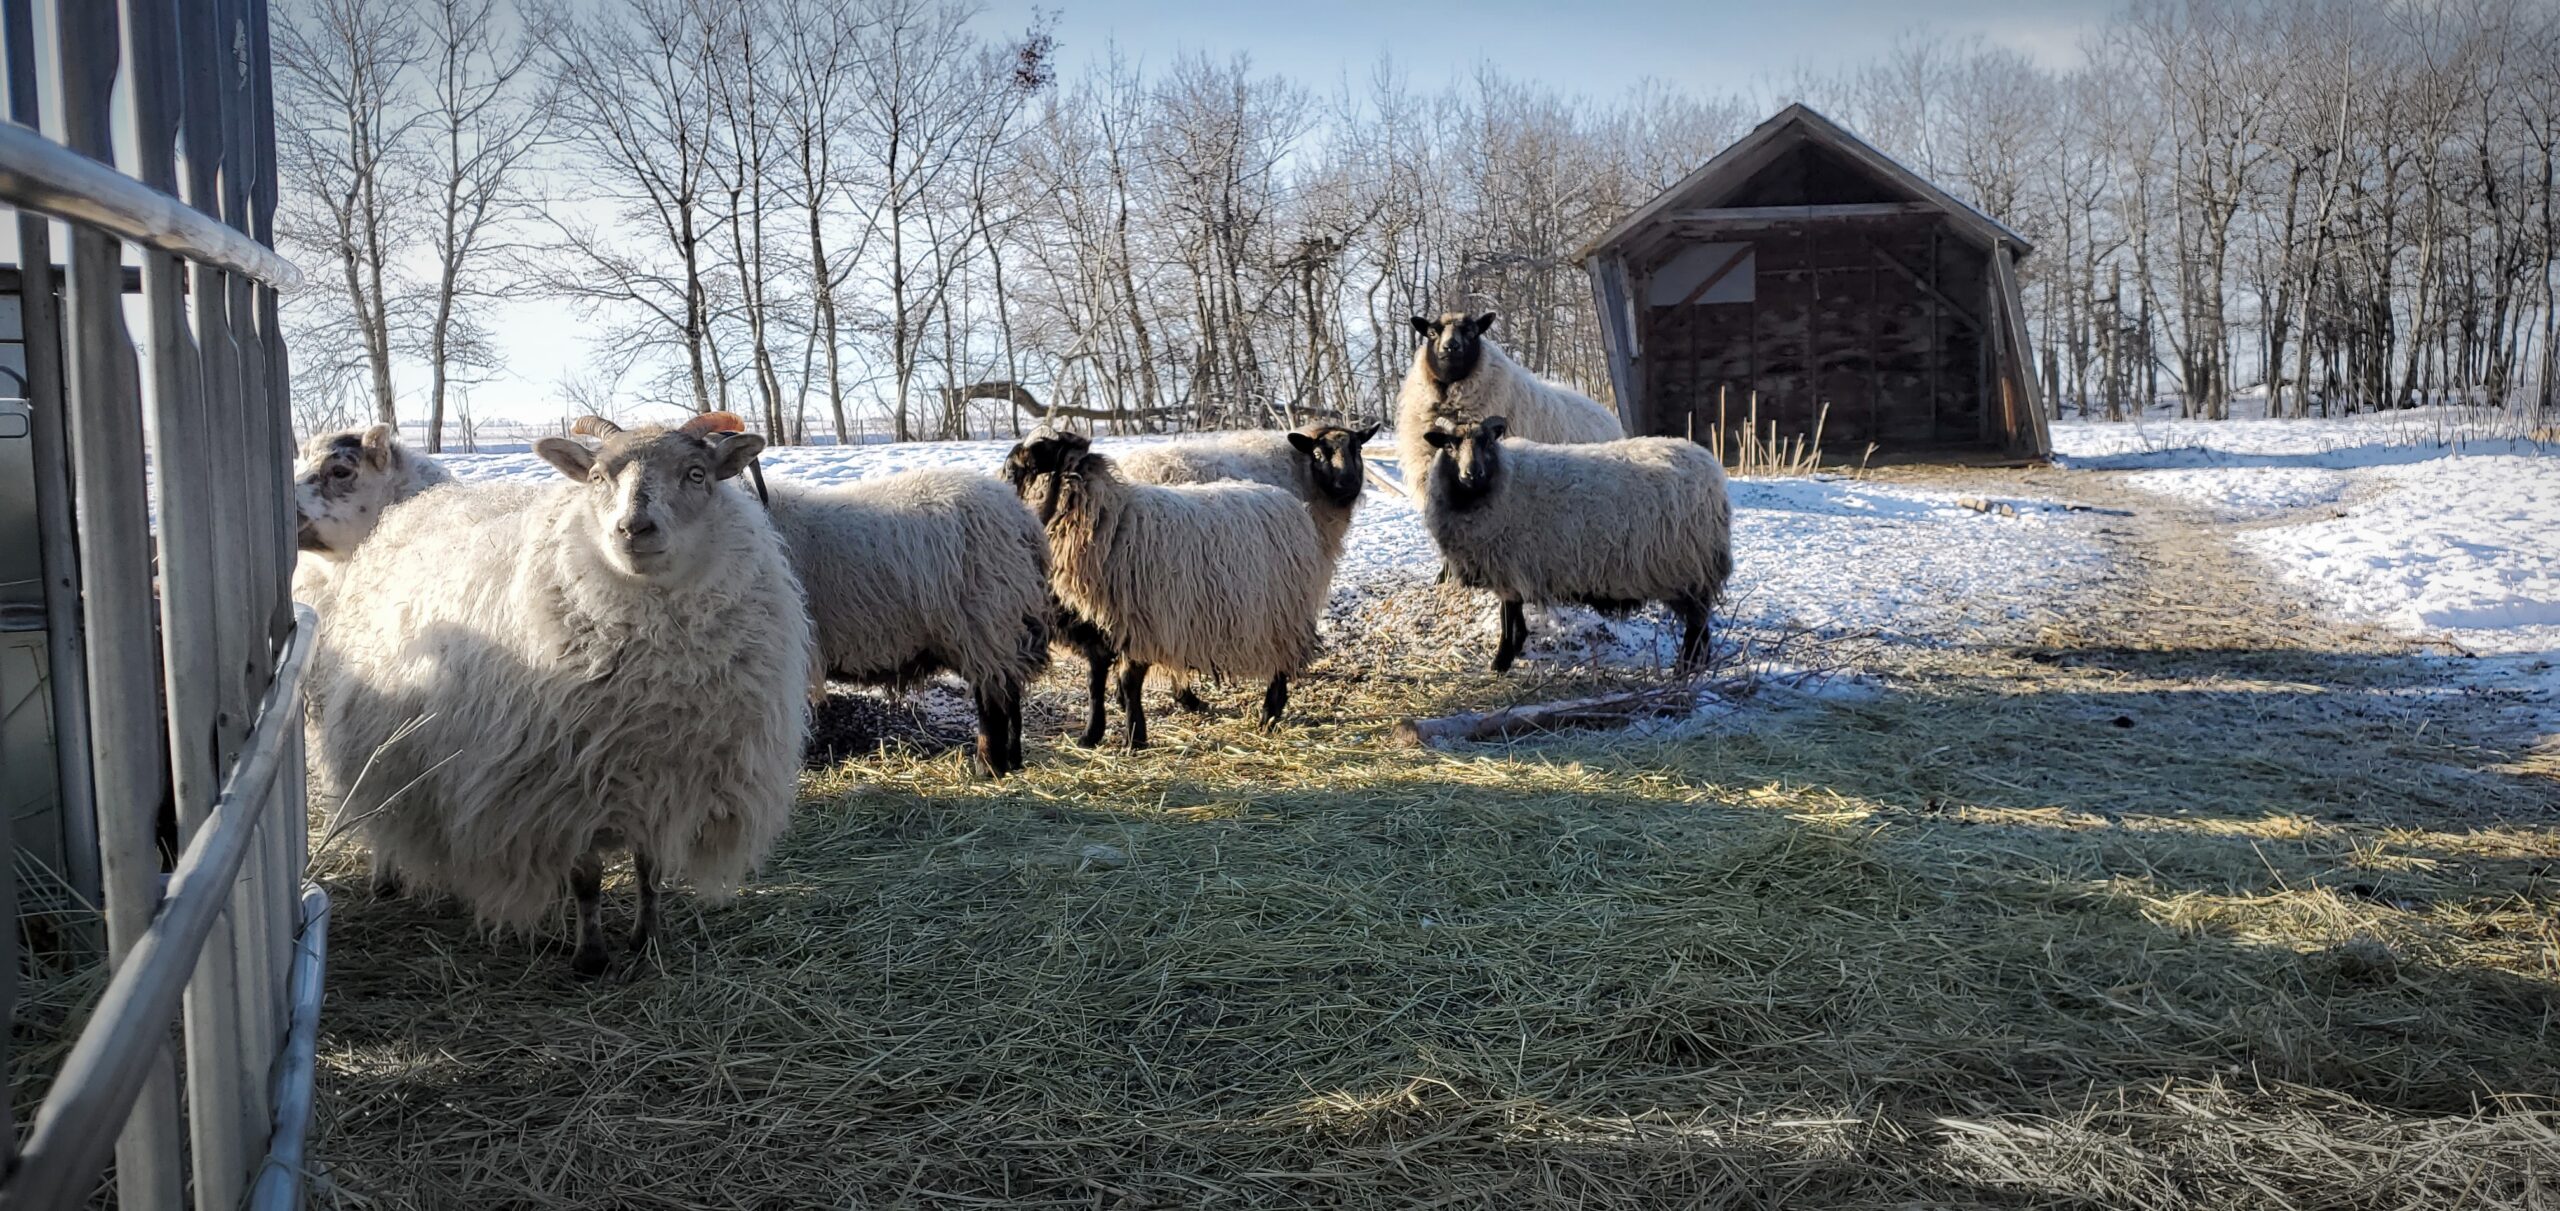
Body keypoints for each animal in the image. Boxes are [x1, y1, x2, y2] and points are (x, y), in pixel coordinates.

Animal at [312, 409, 808, 978]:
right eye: (596, 477)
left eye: (697, 473)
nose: (633, 528)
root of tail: (414, 508)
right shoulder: (560, 791)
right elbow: (586, 882)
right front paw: (590, 956)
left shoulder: (661, 783)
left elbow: (650, 871)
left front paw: (647, 938)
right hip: (382, 744)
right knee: (383, 810)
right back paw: (387, 876)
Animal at [998, 425, 1331, 747]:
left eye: (1031, 461)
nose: (1002, 479)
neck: (1108, 522)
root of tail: (1291, 501)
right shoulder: (1099, 629)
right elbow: (1095, 683)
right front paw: (1091, 735)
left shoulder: (1144, 623)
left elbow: (1129, 683)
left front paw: (1134, 738)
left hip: (1282, 614)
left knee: (1281, 666)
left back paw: (1269, 715)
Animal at [1413, 417, 1730, 675]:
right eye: (1450, 446)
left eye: (1488, 442)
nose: (1472, 474)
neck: (1502, 482)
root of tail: (1712, 472)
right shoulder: (1513, 569)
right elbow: (1513, 613)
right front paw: (1516, 647)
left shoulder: (1508, 564)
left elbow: (1507, 615)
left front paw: (1501, 660)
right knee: (1701, 624)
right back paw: (1696, 666)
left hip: (1685, 568)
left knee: (1697, 625)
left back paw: (1685, 668)